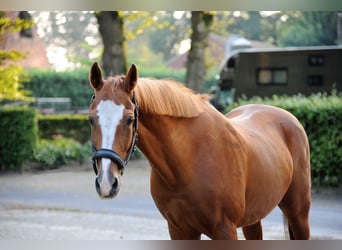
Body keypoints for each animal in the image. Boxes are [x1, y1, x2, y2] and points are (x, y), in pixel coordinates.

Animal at [87, 62, 312, 240]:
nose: (106, 183)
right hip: (253, 219)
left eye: (129, 119)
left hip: (298, 213)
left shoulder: (225, 230)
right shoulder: (179, 230)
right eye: (91, 119)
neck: (188, 161)